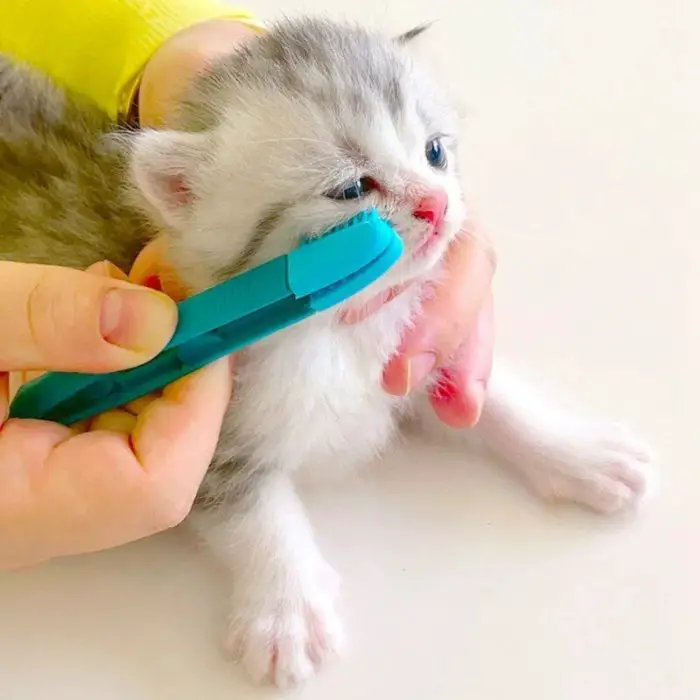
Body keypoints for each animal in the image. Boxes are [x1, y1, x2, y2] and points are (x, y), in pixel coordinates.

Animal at [0, 17, 656, 688]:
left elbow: (484, 397)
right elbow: (249, 506)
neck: (335, 333)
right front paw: (286, 608)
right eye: (351, 188)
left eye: (435, 152)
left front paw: (579, 452)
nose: (439, 205)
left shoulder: (411, 346)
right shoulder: (203, 409)